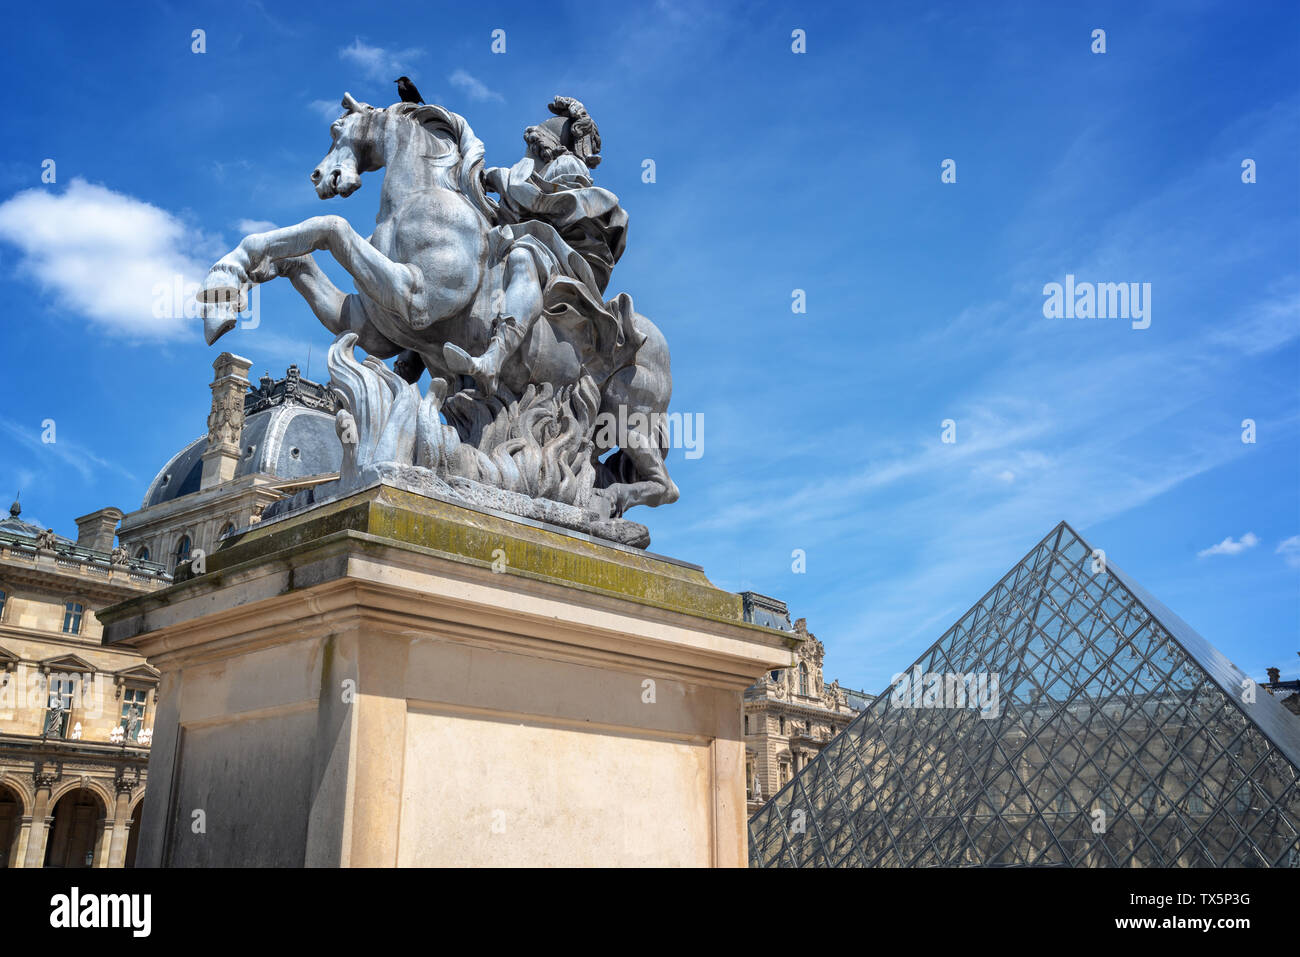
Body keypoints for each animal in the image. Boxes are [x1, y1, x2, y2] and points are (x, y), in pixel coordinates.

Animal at [197, 93, 681, 520]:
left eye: (336, 128)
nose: (320, 176)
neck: (418, 201)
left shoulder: (416, 297)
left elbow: (331, 226)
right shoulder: (366, 323)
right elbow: (300, 246)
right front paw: (227, 287)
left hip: (628, 418)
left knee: (665, 487)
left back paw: (603, 502)